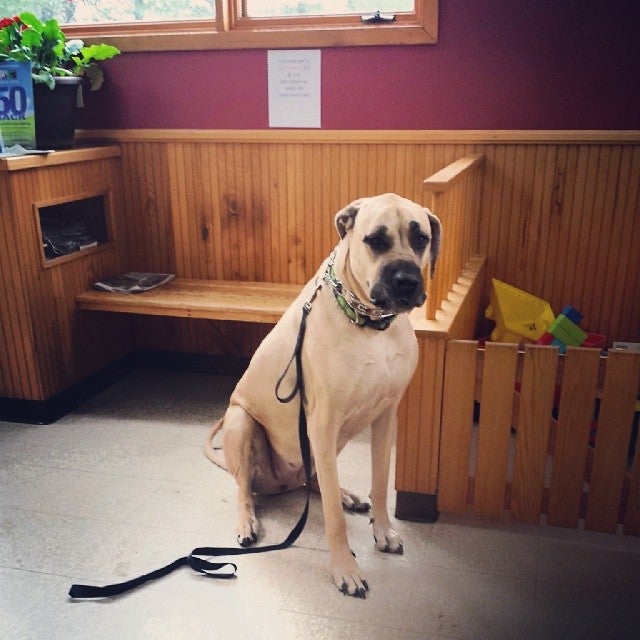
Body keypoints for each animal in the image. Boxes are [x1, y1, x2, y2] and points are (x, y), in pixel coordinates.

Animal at [205, 193, 441, 597]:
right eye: (375, 240)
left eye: (421, 238)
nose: (407, 282)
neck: (370, 326)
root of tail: (282, 483)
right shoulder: (323, 421)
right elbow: (331, 517)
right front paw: (345, 567)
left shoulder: (385, 416)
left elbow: (381, 484)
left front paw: (383, 531)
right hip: (241, 420)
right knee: (244, 488)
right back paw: (247, 520)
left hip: (329, 441)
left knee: (314, 479)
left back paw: (345, 494)